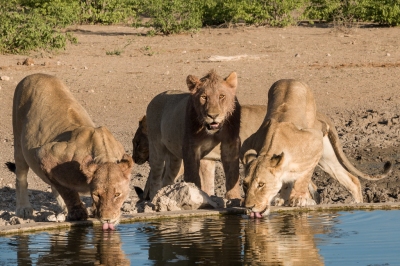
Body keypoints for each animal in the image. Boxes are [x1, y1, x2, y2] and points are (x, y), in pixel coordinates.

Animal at [145, 69, 242, 201]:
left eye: (221, 96)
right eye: (204, 97)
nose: (213, 115)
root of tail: (154, 98)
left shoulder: (230, 142)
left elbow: (232, 172)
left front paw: (234, 198)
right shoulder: (191, 145)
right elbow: (192, 174)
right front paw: (194, 191)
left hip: (175, 158)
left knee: (167, 178)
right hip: (156, 148)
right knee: (155, 177)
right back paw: (153, 198)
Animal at [239, 79, 392, 218]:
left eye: (261, 184)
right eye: (245, 185)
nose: (249, 207)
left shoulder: (315, 141)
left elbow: (304, 176)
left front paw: (299, 199)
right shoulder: (247, 144)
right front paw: (283, 198)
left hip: (321, 146)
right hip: (327, 160)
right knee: (351, 179)